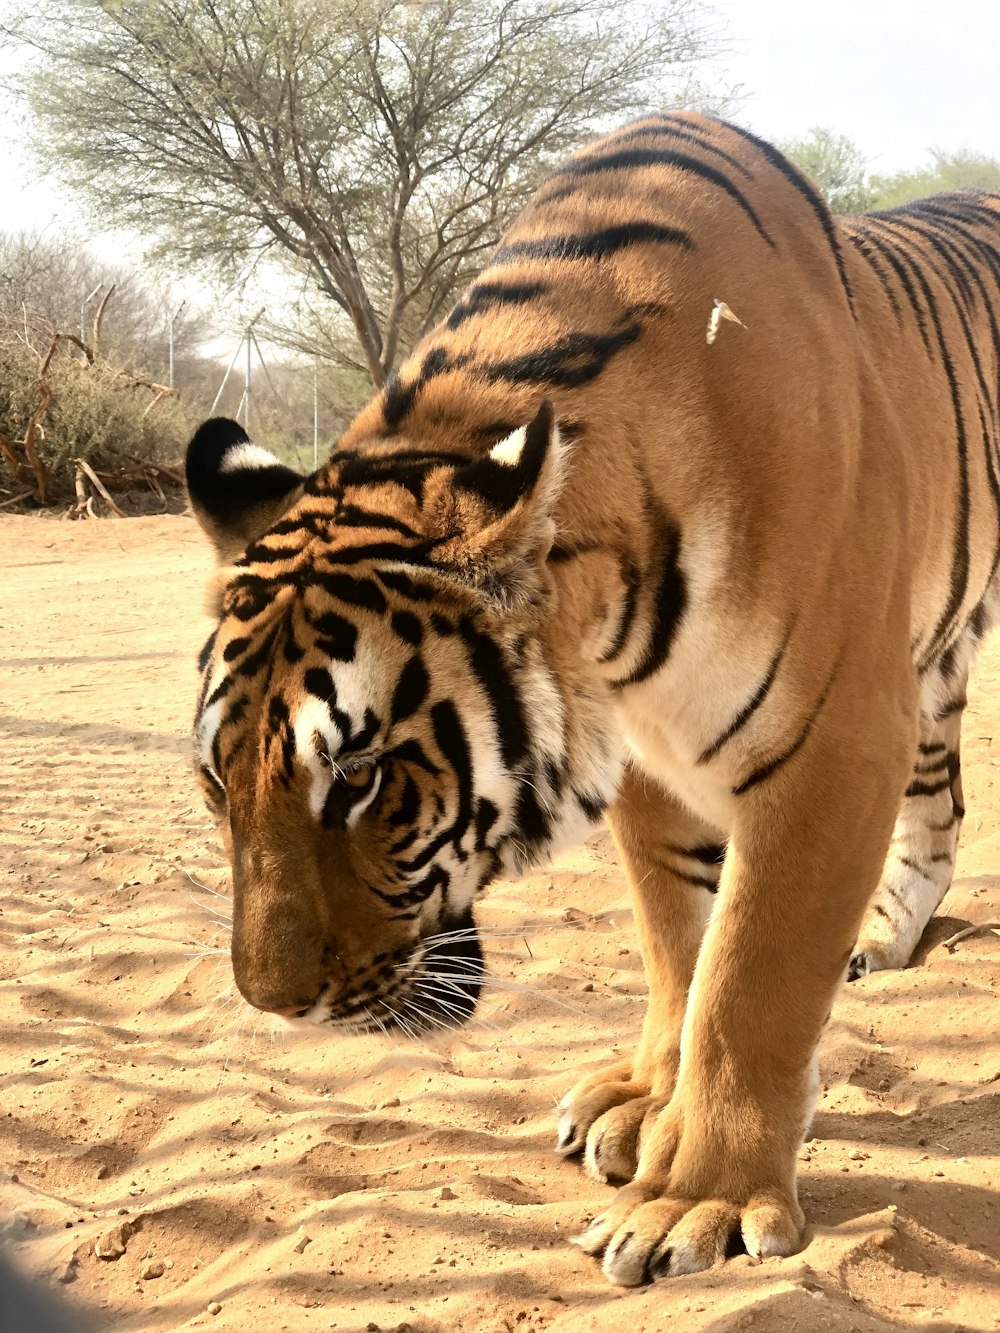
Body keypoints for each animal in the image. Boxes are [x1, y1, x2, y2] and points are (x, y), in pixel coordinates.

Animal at [186, 111, 1000, 1279]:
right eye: (217, 782)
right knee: (939, 807)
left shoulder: (830, 745)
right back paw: (884, 938)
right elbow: (678, 943)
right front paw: (647, 1102)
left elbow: (747, 982)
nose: (274, 1004)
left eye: (360, 773)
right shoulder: (651, 754)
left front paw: (697, 1197)